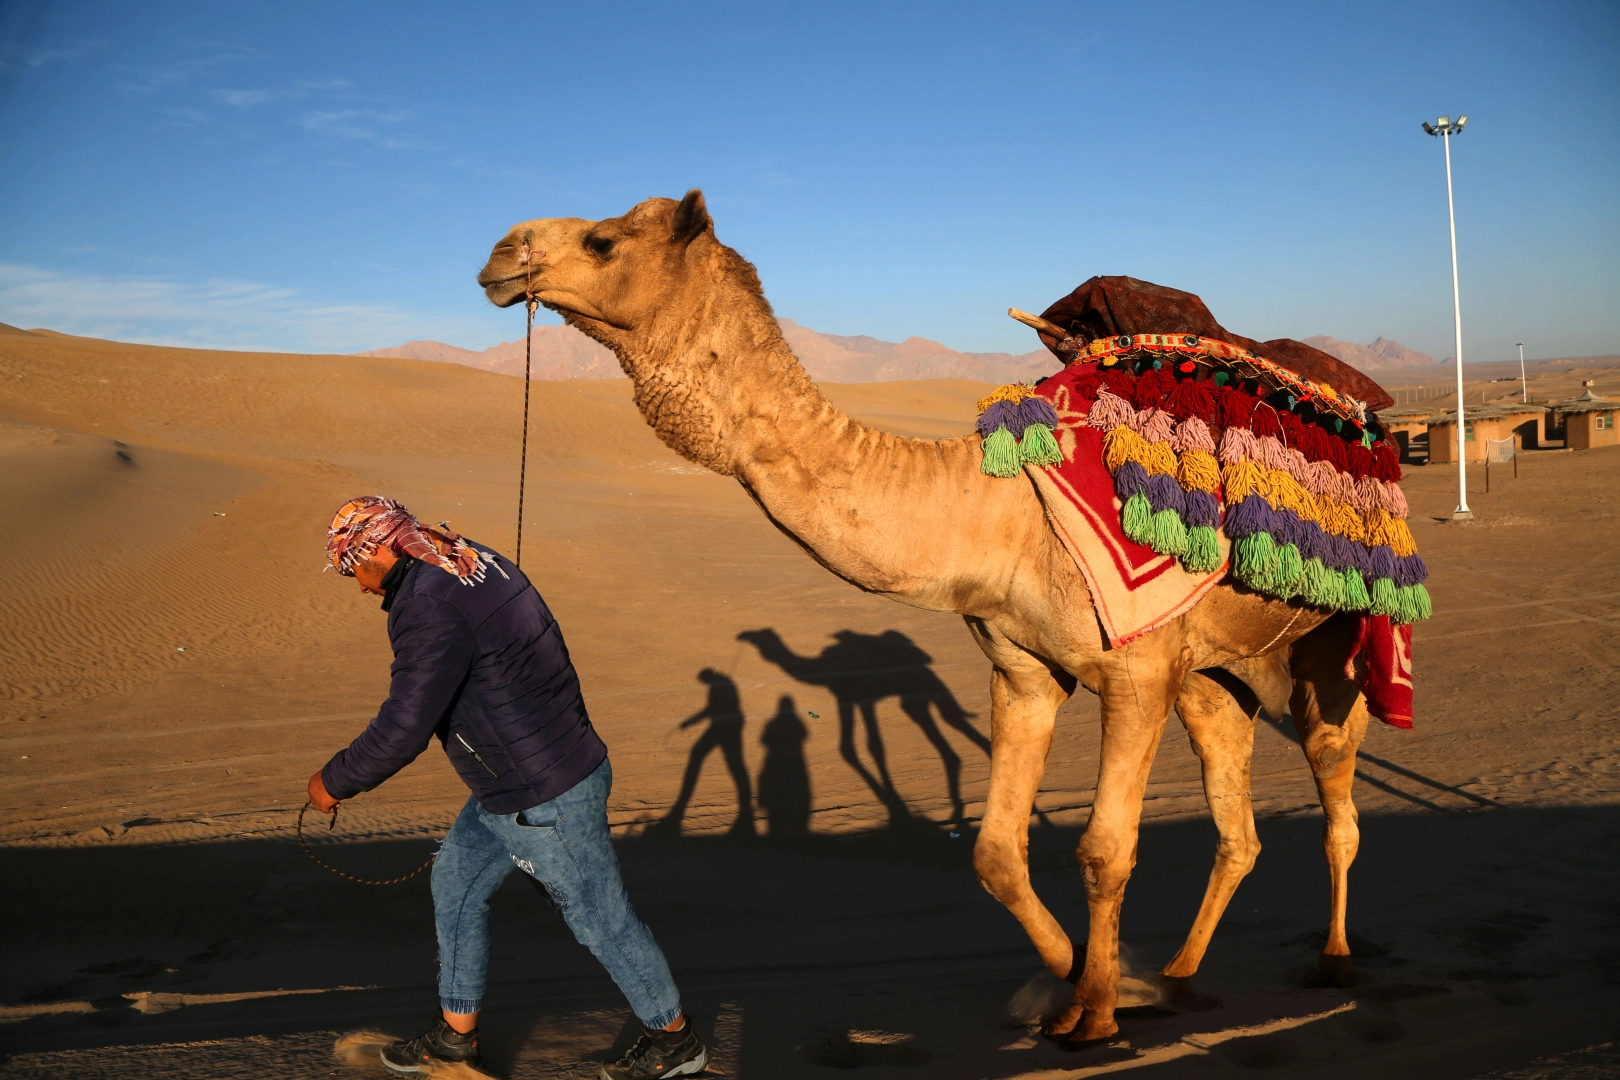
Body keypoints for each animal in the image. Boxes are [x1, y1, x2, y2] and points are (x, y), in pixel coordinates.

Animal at [473, 191, 1373, 1049]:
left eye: (603, 240)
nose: (500, 252)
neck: (993, 505)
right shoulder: (1024, 671)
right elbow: (995, 853)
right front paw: (1077, 974)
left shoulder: (1136, 672)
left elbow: (1104, 851)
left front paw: (1096, 1015)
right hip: (1214, 671)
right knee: (1237, 818)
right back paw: (1182, 975)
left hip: (1336, 640)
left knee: (1334, 771)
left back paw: (1332, 960)